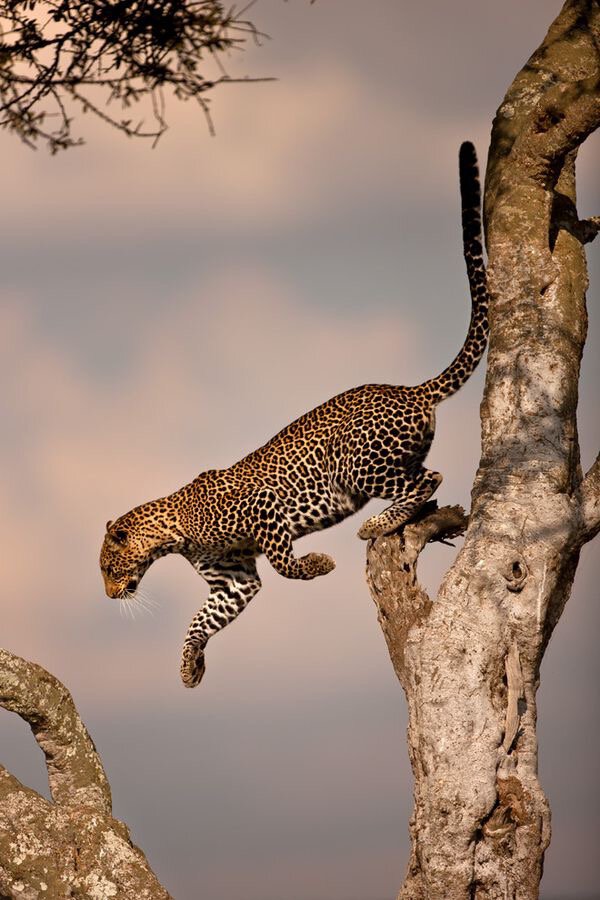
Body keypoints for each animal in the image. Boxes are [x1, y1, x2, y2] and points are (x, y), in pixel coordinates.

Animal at [101, 142, 490, 688]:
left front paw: (320, 562)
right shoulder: (234, 580)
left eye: (108, 567)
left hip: (358, 463)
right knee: (424, 481)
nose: (110, 595)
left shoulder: (265, 514)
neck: (173, 532)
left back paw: (376, 524)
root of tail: (410, 390)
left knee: (426, 479)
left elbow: (287, 564)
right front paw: (188, 665)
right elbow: (203, 619)